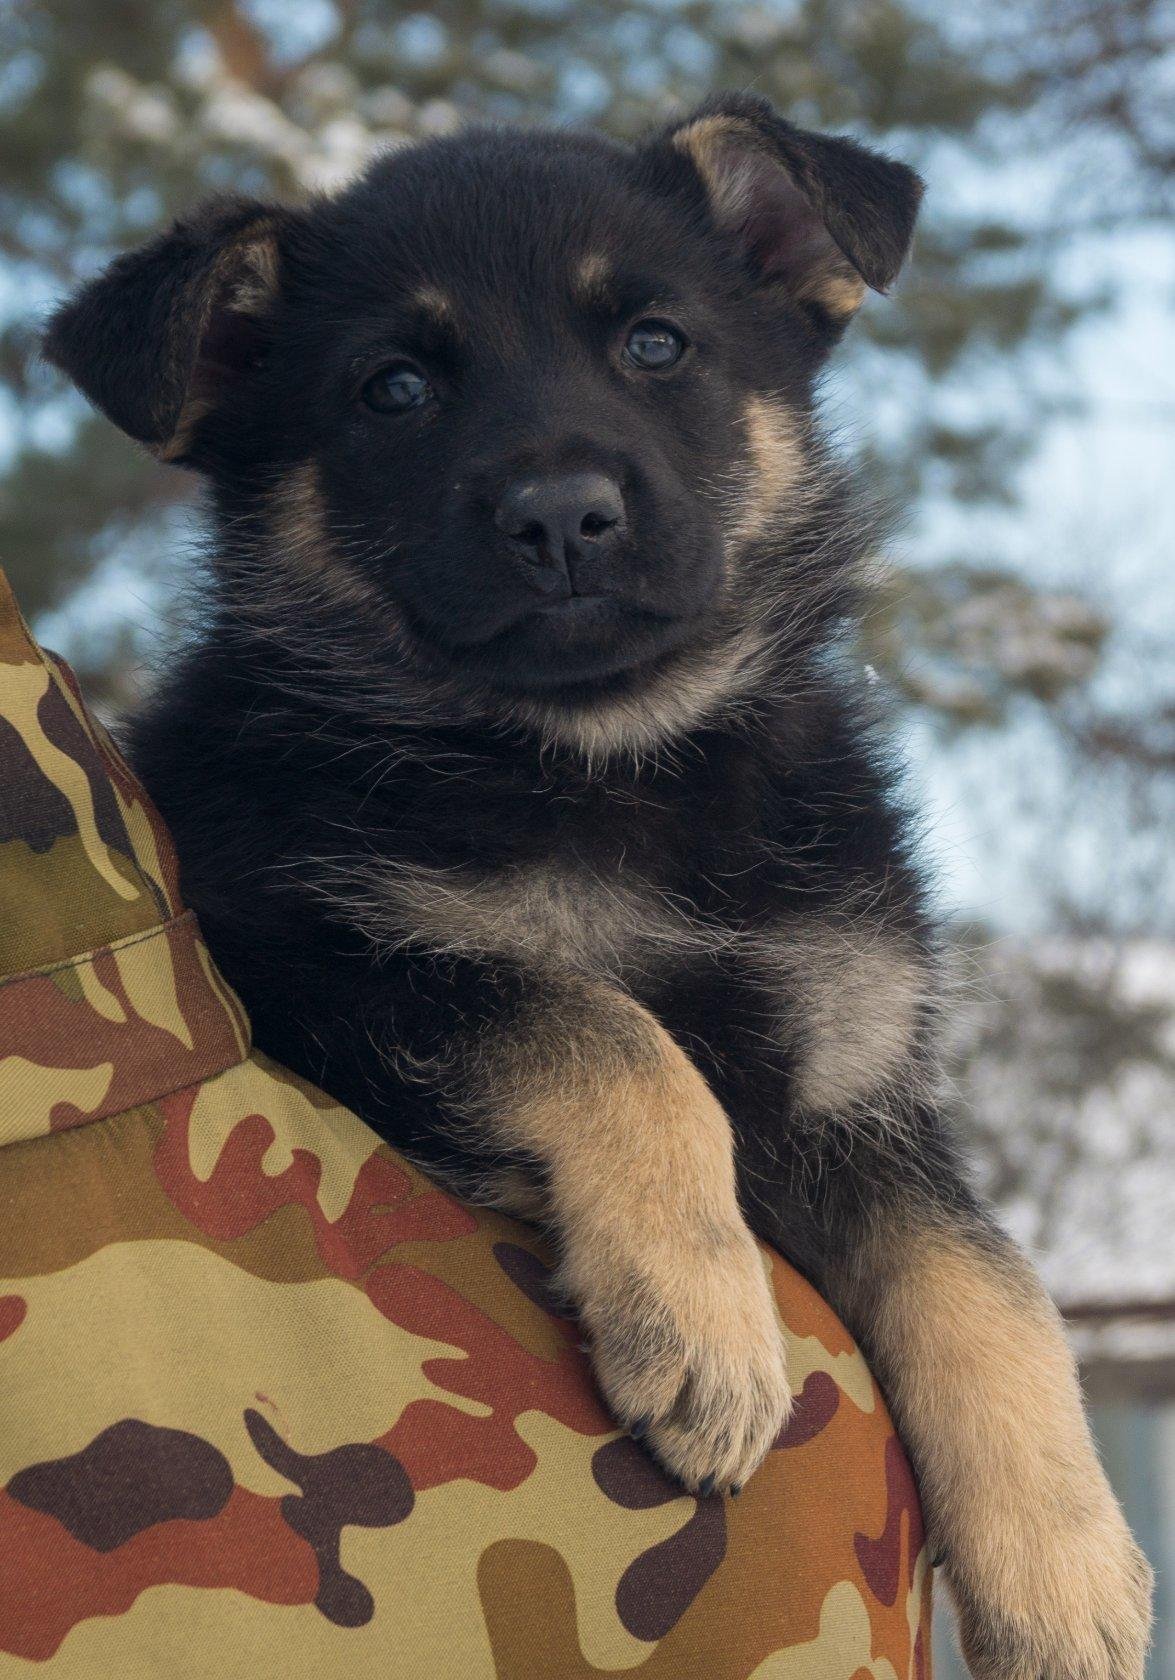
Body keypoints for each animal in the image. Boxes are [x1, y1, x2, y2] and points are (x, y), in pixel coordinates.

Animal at [46, 95, 1149, 1680]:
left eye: (655, 343)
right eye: (391, 389)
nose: (562, 516)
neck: (611, 761)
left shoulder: (857, 1082)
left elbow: (987, 1283)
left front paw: (1064, 1577)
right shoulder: (319, 963)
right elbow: (603, 1028)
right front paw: (702, 1325)